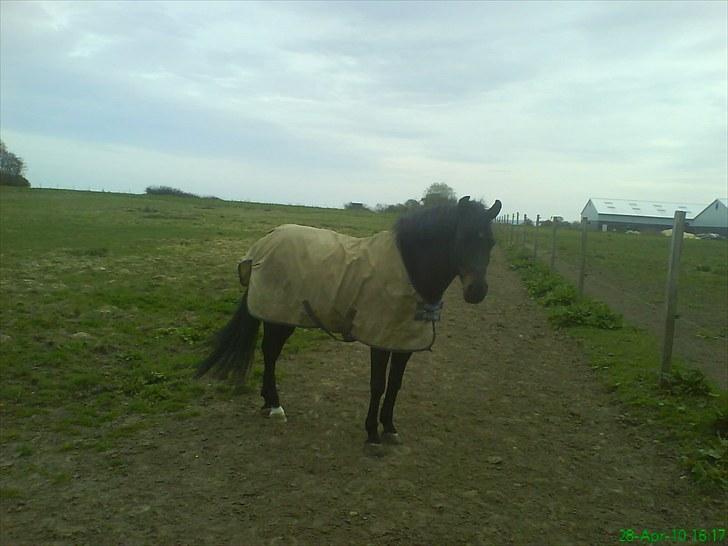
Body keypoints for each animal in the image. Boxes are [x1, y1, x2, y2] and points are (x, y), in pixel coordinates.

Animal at [196, 196, 502, 449]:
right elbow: (378, 384)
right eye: (462, 238)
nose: (477, 291)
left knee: (270, 352)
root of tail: (264, 242)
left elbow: (395, 384)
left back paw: (268, 403)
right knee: (270, 353)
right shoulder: (380, 339)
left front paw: (389, 428)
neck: (409, 271)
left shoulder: (403, 340)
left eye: (491, 243)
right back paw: (275, 407)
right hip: (279, 317)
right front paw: (372, 434)